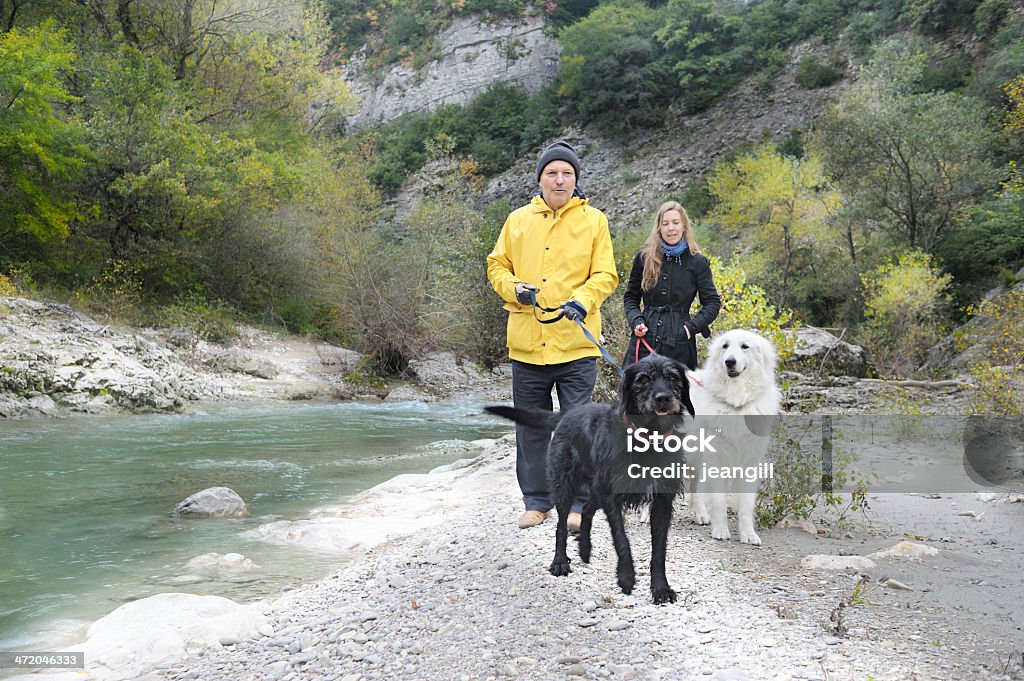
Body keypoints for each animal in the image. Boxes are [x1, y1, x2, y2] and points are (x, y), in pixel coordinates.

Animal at [487, 352, 696, 602]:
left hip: (595, 488)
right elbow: (621, 538)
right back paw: (560, 562)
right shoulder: (611, 495)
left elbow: (659, 548)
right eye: (643, 380)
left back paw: (585, 549)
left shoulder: (662, 501)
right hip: (565, 486)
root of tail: (566, 414)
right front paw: (626, 577)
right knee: (561, 525)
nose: (663, 398)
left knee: (586, 509)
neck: (648, 439)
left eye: (673, 377)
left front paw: (661, 588)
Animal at [688, 327, 782, 544]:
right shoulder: (717, 461)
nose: (729, 361)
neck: (736, 403)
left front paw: (749, 534)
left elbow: (746, 507)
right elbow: (719, 502)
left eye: (744, 346)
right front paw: (720, 531)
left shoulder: (749, 463)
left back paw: (701, 515)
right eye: (725, 346)